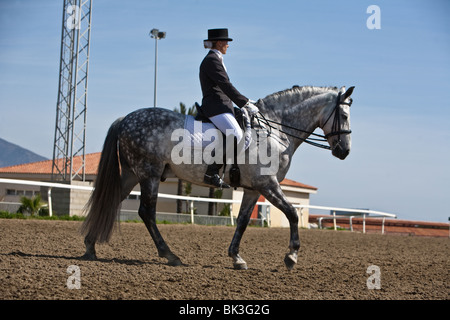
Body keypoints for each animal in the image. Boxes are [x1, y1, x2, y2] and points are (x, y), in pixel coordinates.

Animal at [81, 85, 356, 270]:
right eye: (344, 116)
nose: (344, 151)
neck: (275, 129)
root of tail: (125, 119)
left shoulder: (253, 189)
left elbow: (242, 221)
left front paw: (237, 257)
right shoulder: (268, 184)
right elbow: (291, 214)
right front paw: (291, 257)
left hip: (132, 174)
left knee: (111, 201)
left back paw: (90, 246)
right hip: (149, 174)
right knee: (146, 212)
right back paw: (170, 255)